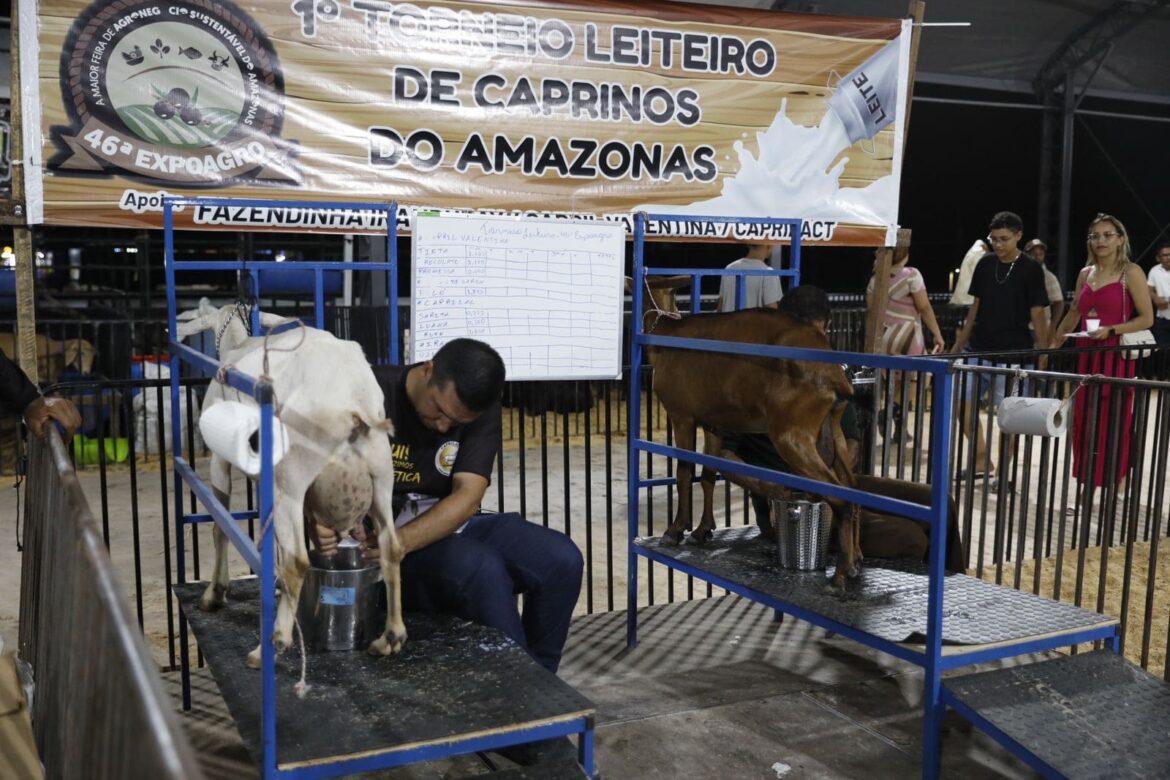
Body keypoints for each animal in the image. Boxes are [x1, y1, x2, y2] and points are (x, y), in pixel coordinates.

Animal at [175, 299, 407, 664]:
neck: (238, 344)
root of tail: (354, 403)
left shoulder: (220, 459)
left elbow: (220, 525)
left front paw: (214, 593)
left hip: (292, 477)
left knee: (298, 561)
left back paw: (272, 644)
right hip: (381, 475)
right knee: (392, 548)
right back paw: (390, 638)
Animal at [641, 277, 861, 589]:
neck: (667, 335)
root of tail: (834, 375)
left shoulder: (681, 415)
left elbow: (684, 472)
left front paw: (675, 530)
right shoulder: (714, 423)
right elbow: (708, 474)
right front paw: (702, 530)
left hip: (791, 434)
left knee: (841, 497)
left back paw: (840, 574)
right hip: (833, 430)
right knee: (853, 490)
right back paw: (854, 563)